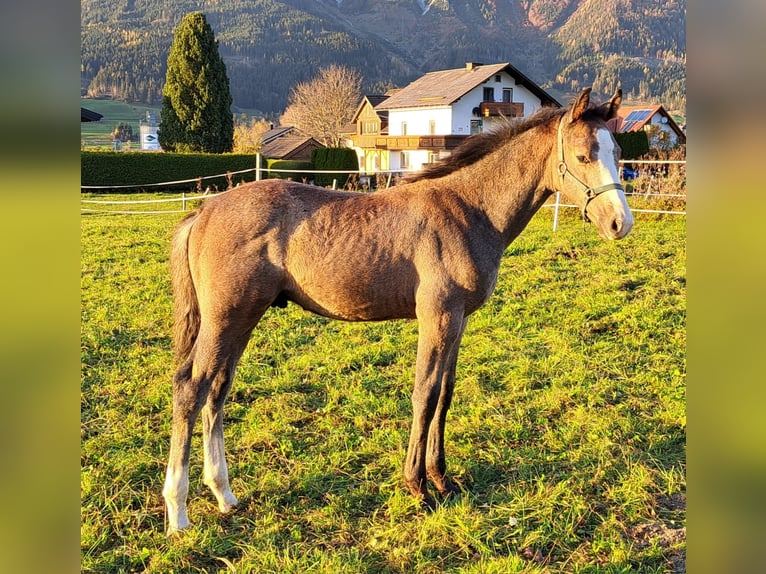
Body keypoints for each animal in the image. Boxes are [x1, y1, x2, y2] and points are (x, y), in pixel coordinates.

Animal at [164, 86, 636, 536]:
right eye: (583, 155)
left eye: (617, 153)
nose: (620, 223)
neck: (468, 210)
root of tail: (204, 211)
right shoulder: (437, 317)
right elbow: (424, 394)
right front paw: (417, 486)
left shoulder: (458, 319)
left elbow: (445, 394)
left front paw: (443, 479)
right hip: (227, 317)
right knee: (191, 388)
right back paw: (178, 510)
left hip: (242, 318)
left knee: (217, 390)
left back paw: (224, 494)